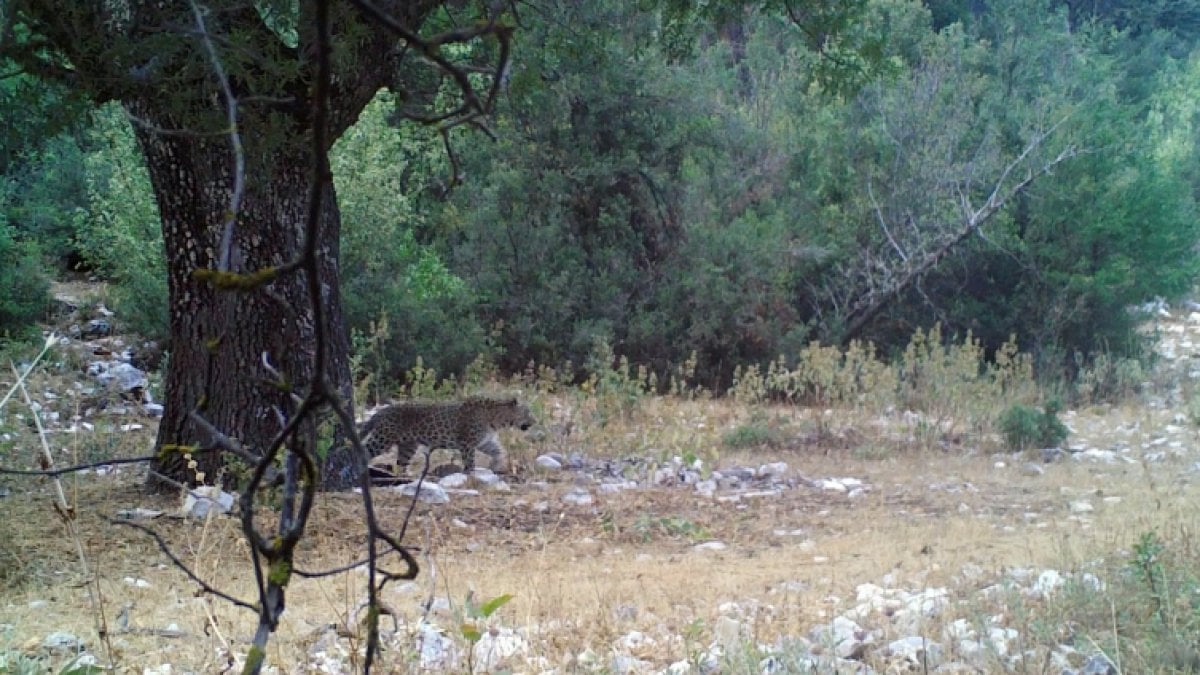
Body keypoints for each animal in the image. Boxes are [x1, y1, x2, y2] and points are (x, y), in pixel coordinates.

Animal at [355, 393, 535, 473]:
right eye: (527, 412)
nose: (534, 422)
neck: (497, 420)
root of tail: (382, 411)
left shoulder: (484, 441)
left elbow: (498, 450)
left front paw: (495, 465)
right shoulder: (467, 443)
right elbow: (470, 461)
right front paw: (470, 474)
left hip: (408, 445)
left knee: (400, 464)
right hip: (382, 439)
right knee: (364, 450)